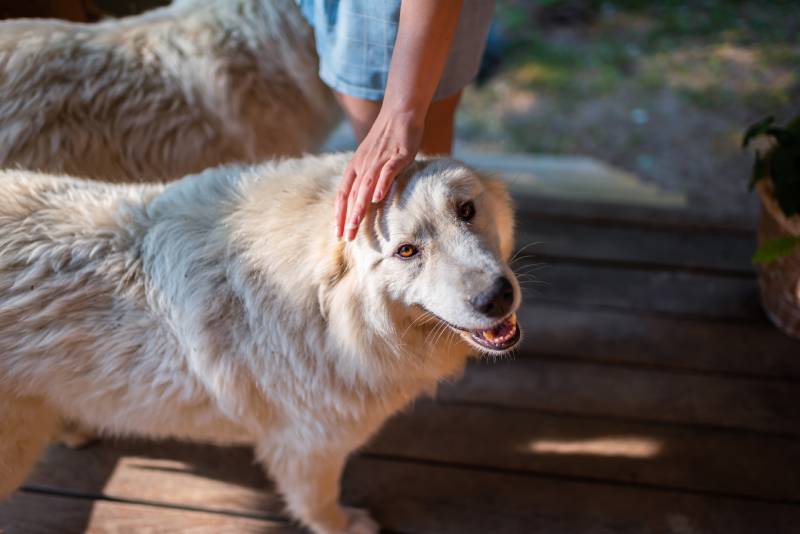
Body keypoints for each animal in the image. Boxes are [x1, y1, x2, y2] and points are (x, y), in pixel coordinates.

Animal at [0, 153, 520, 532]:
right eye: (407, 251)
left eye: (466, 211)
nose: (497, 297)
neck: (326, 313)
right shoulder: (309, 448)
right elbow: (319, 505)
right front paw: (346, 526)